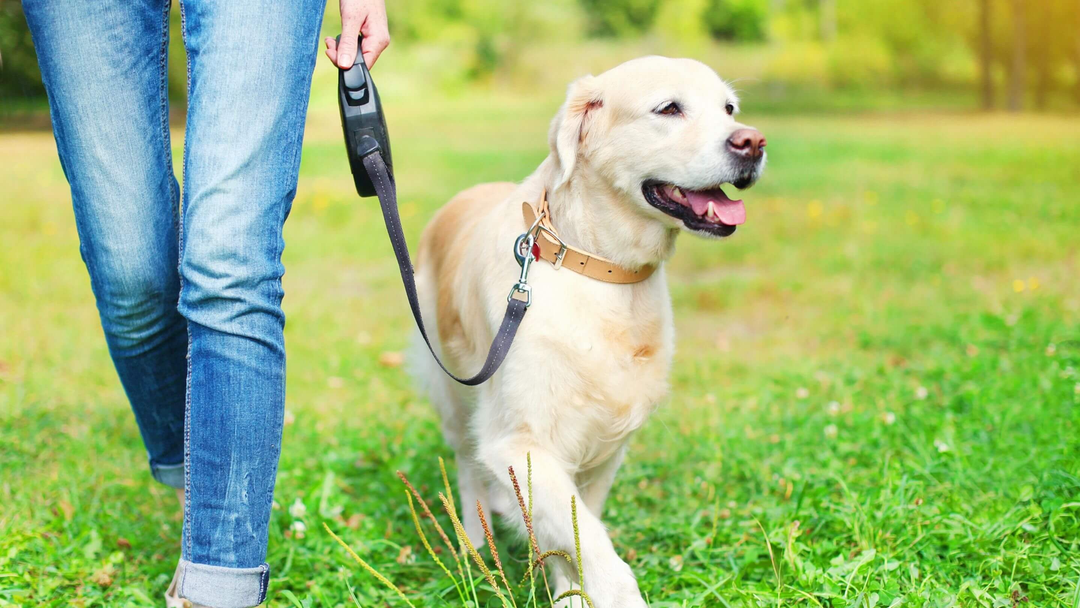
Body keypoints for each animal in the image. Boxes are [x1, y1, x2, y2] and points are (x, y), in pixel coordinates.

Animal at [408, 55, 764, 604]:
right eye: (669, 108)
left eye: (729, 109)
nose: (753, 142)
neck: (600, 268)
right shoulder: (518, 441)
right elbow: (595, 550)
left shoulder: (604, 447)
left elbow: (576, 532)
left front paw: (569, 591)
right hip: (453, 394)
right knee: (467, 468)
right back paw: (474, 544)